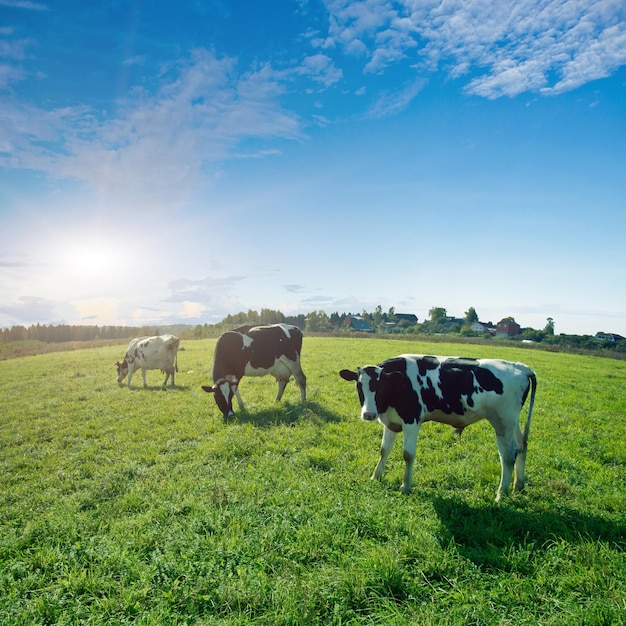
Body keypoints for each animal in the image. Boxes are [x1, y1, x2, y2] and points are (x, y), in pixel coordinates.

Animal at [338, 354, 532, 500]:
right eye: (359, 386)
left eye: (381, 386)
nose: (369, 414)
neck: (400, 384)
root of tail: (521, 367)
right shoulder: (391, 422)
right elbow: (384, 450)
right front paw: (375, 476)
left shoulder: (411, 421)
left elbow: (407, 455)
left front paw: (405, 486)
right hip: (511, 422)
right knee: (521, 446)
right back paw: (518, 486)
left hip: (503, 423)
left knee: (508, 456)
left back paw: (501, 494)